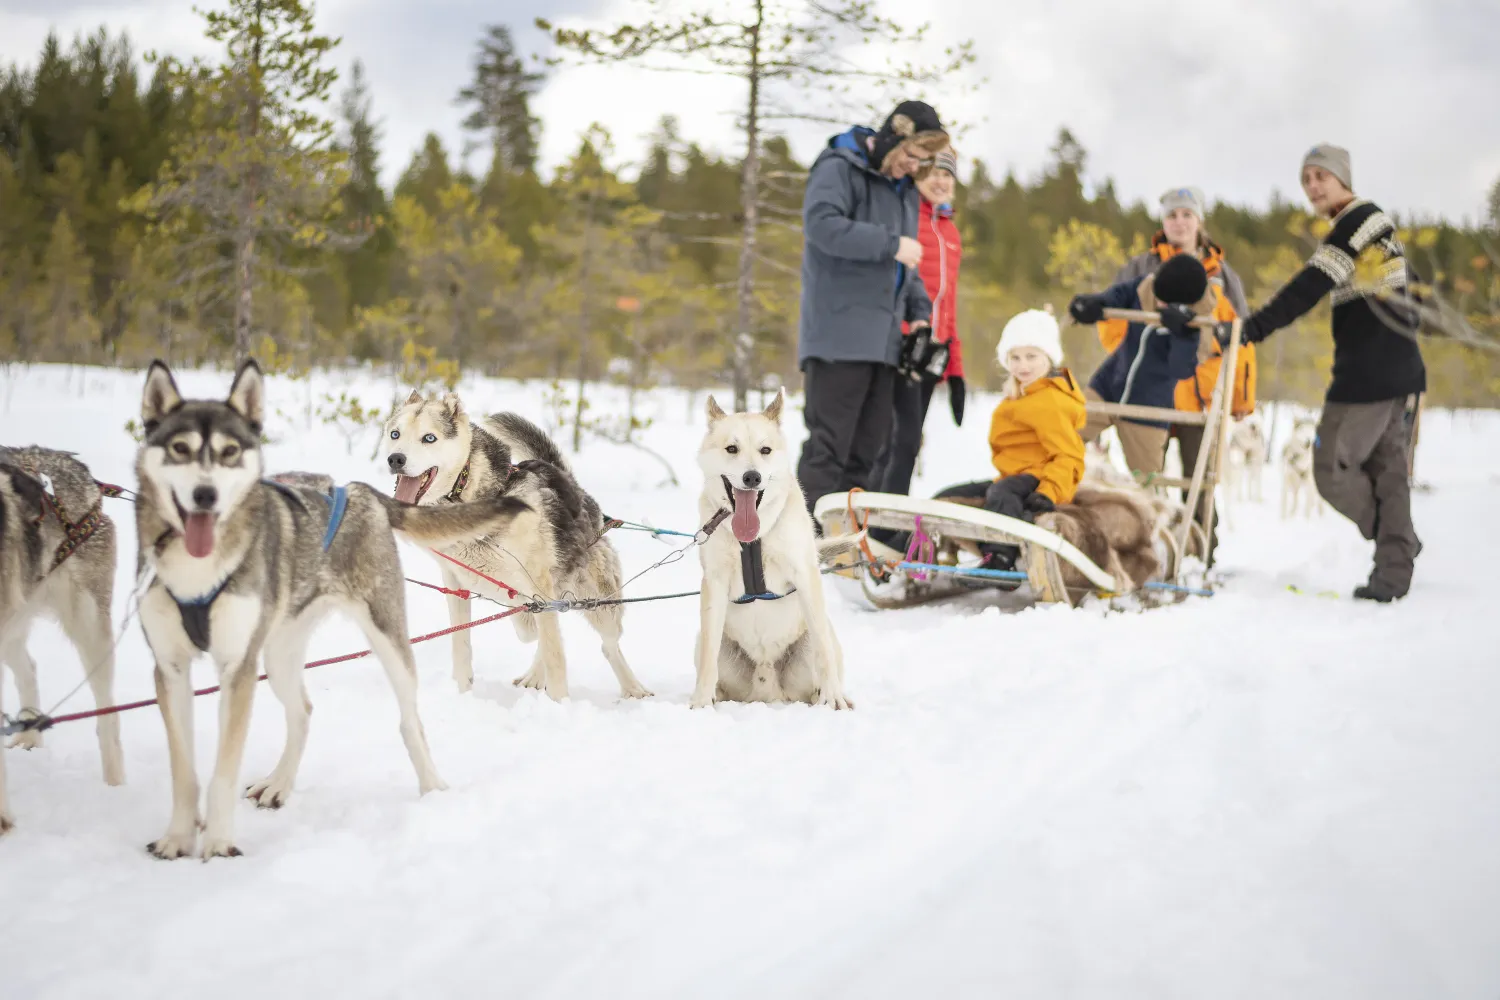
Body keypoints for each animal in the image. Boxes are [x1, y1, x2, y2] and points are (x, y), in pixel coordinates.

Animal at [135, 359, 531, 863]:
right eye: (180, 449)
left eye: (230, 452)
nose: (205, 494)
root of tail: (357, 490)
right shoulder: (169, 669)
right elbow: (182, 767)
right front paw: (178, 838)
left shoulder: (237, 670)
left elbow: (224, 766)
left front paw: (219, 843)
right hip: (278, 655)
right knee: (302, 710)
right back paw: (278, 784)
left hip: (385, 638)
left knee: (410, 721)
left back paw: (433, 789)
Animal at [381, 386, 651, 701]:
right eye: (395, 434)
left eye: (429, 438)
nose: (395, 459)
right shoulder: (456, 585)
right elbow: (462, 648)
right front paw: (463, 694)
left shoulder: (539, 585)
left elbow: (556, 657)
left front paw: (559, 704)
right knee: (536, 632)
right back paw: (534, 674)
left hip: (600, 605)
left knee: (607, 645)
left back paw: (633, 688)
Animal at [687, 389, 858, 710]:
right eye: (732, 448)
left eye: (765, 450)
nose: (752, 477)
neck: (753, 539)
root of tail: (767, 689)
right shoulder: (714, 582)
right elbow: (708, 660)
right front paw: (701, 702)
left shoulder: (804, 574)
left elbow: (824, 653)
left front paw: (833, 697)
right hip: (706, 640)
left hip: (812, 643)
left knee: (820, 657)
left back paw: (826, 696)